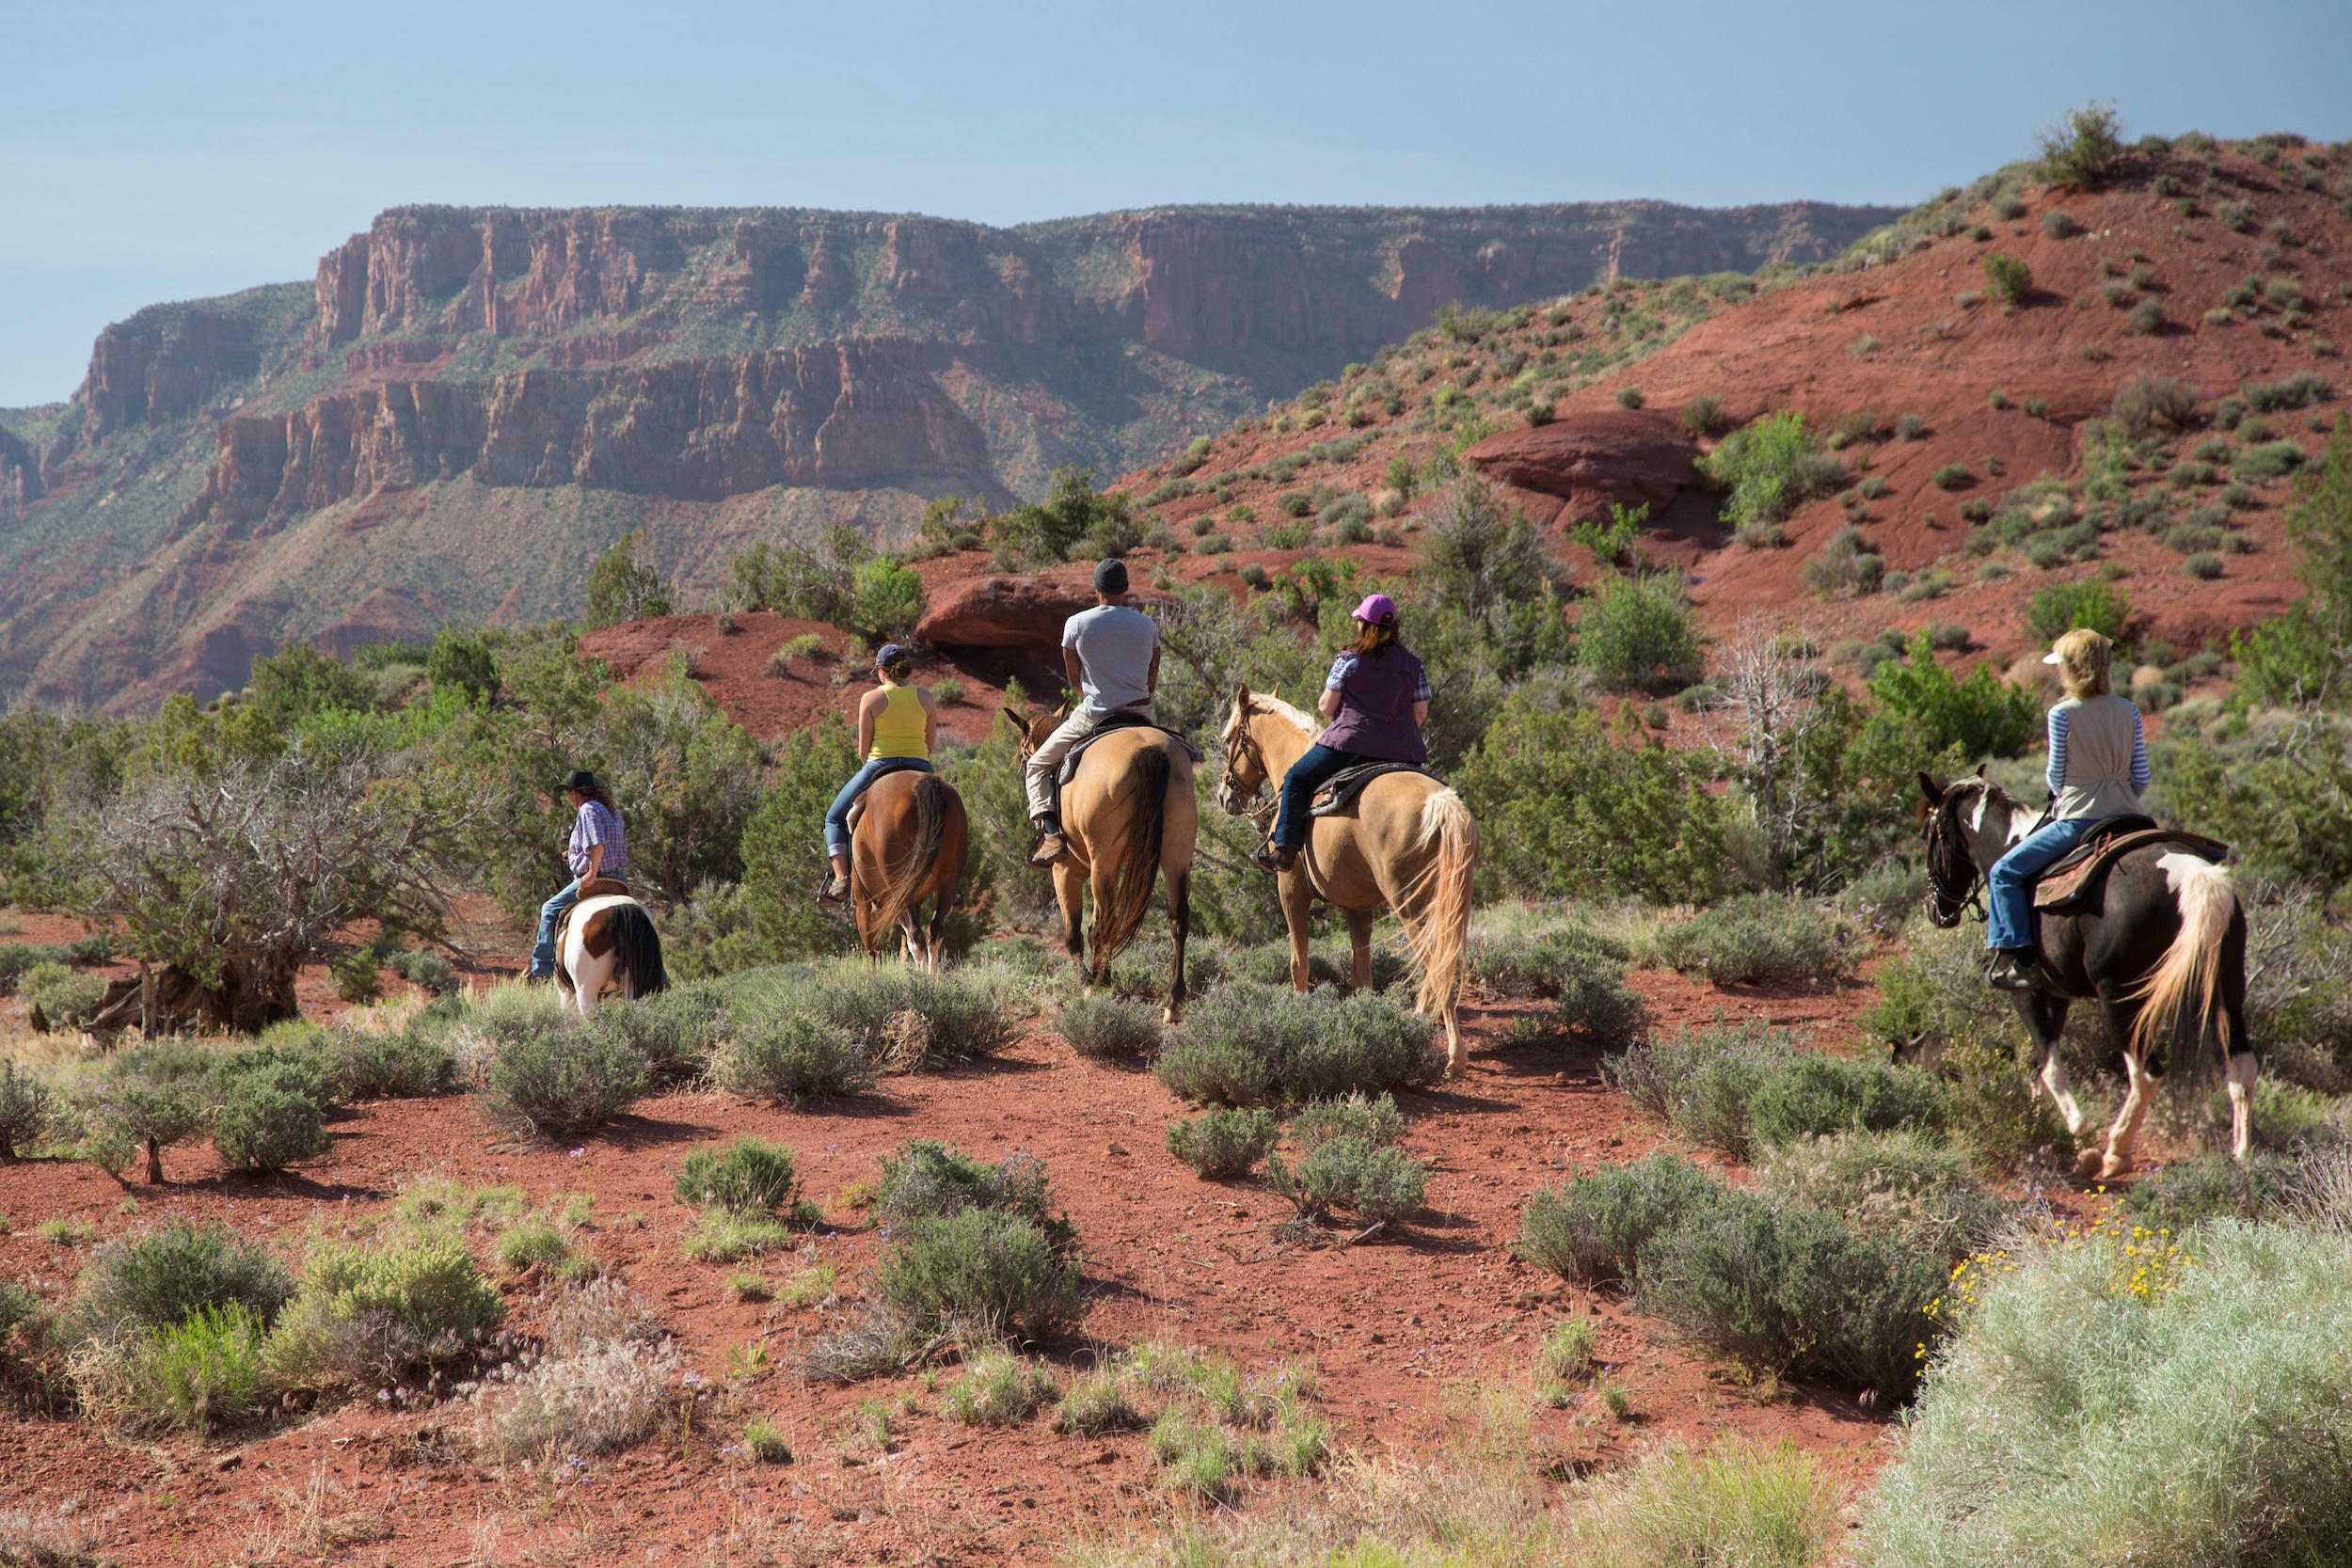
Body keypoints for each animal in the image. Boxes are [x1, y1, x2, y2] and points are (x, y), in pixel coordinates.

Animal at [847, 770, 964, 973]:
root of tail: (924, 782)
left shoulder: (863, 898)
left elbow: (870, 934)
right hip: (947, 883)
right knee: (934, 931)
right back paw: (932, 976)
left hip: (897, 887)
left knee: (914, 936)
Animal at [1002, 705, 1204, 1024]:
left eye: (1024, 754)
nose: (1023, 765)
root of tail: (1152, 751)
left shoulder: (1066, 871)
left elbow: (1073, 933)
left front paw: (1086, 980)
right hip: (1177, 855)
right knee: (1178, 919)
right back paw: (1172, 1001)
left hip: (1103, 862)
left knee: (1103, 923)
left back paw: (1097, 985)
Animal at [1223, 690, 1477, 1081]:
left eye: (1229, 739)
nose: (1225, 796)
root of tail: (1441, 804)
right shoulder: (1358, 909)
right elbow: (1362, 974)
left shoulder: (1291, 892)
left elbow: (1299, 963)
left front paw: (1299, 1013)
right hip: (1445, 904)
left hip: (1411, 905)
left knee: (1435, 964)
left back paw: (1451, 1054)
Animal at [1910, 770, 2258, 1175]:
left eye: (1927, 833)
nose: (1936, 909)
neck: (2006, 842)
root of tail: (2191, 876)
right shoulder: (2057, 995)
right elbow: (2039, 1066)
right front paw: (2036, 1121)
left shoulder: (2026, 992)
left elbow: (2048, 1066)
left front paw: (2080, 1136)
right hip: (2227, 990)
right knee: (2242, 1068)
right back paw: (2241, 1154)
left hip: (2120, 997)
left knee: (2145, 1073)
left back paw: (2115, 1151)